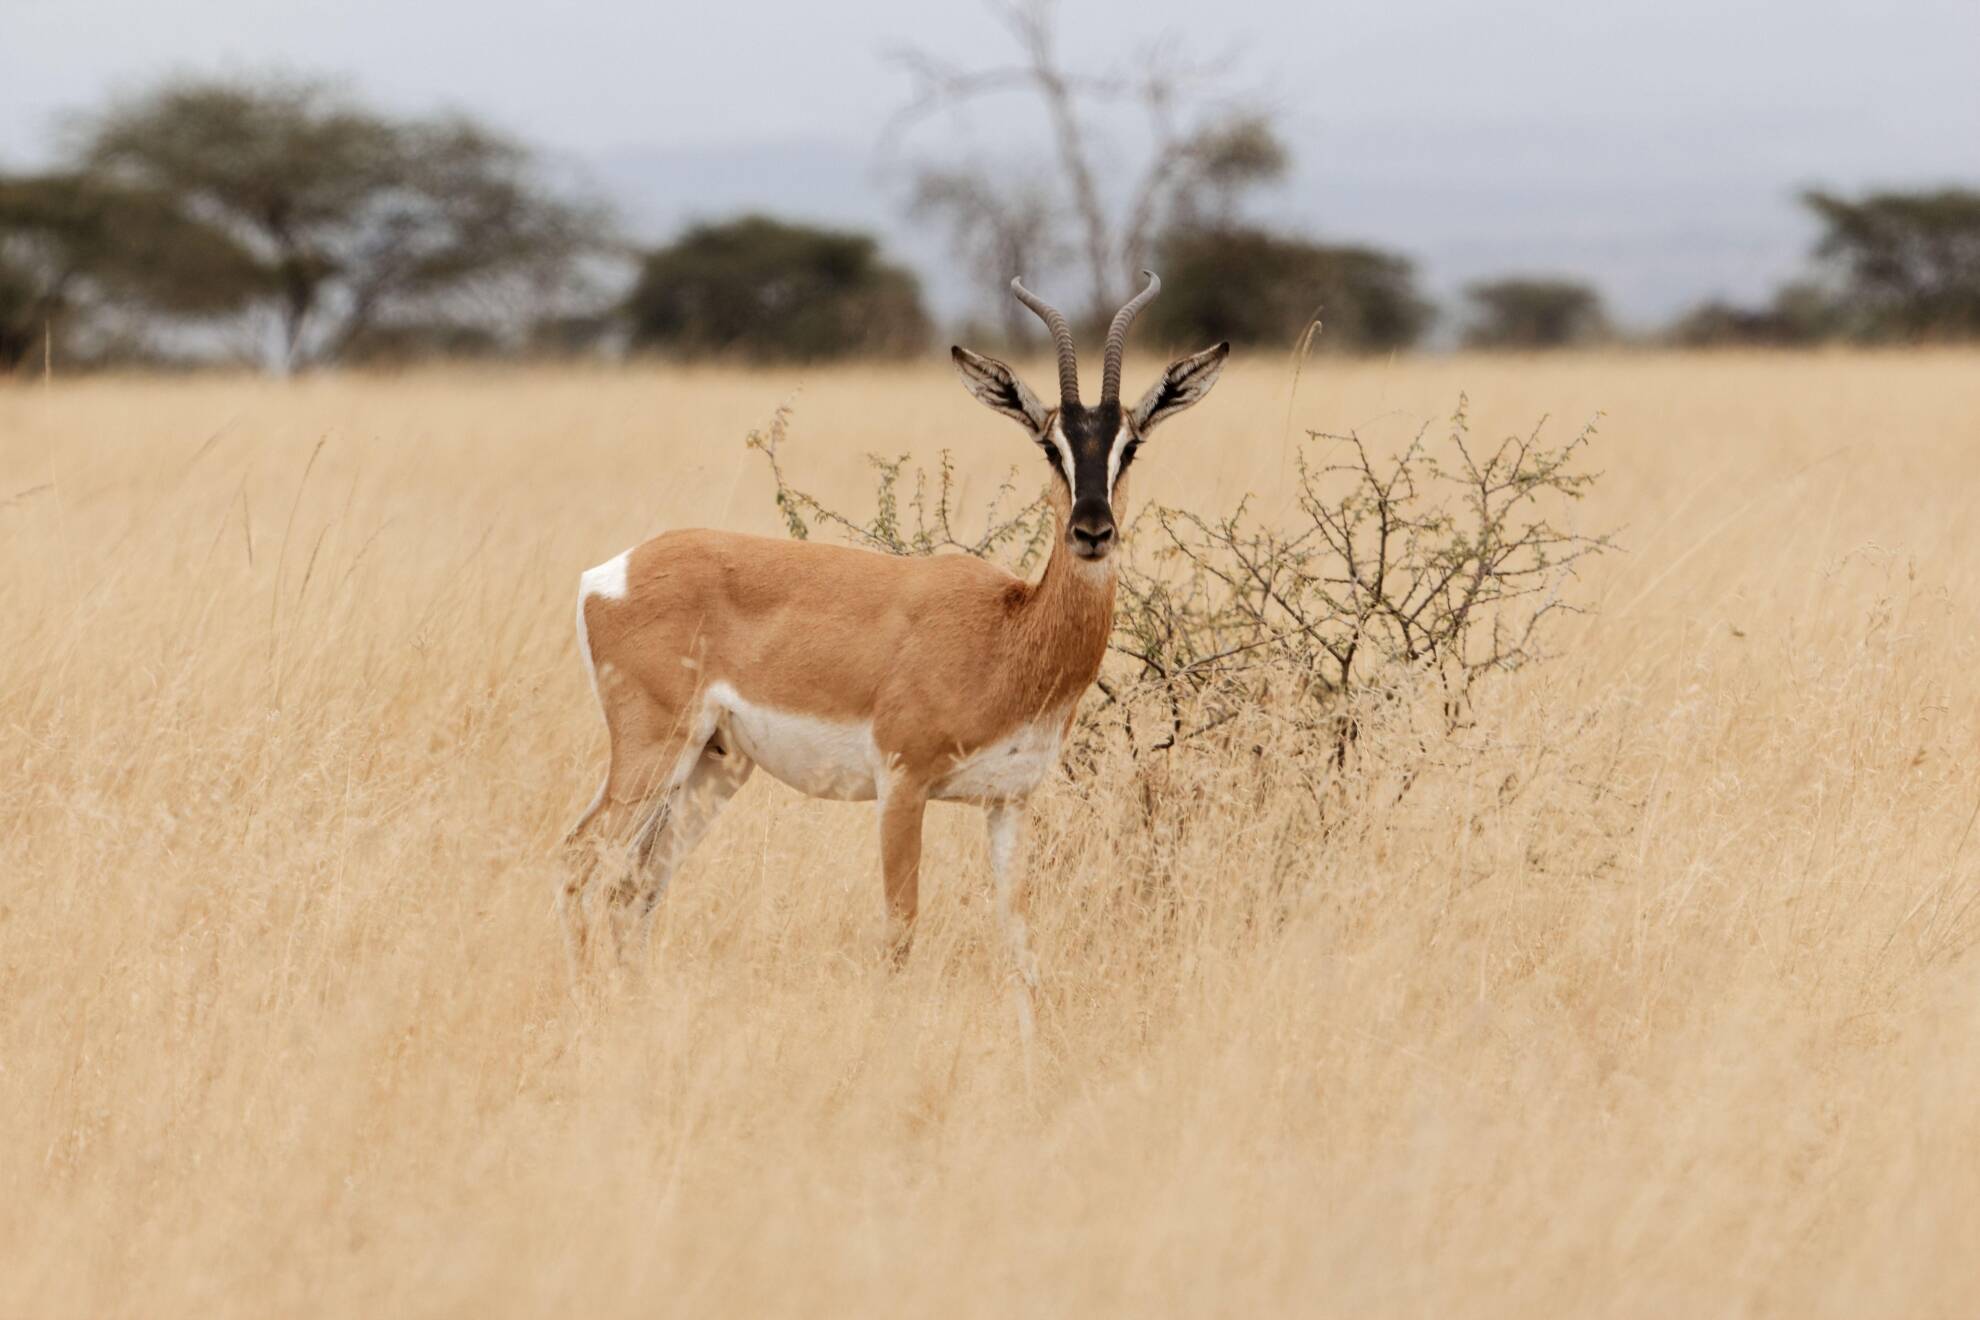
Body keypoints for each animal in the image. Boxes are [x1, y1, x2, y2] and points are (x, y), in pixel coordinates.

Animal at [561, 271, 1228, 982]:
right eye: (1051, 445)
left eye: (1131, 445)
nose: (1093, 531)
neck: (1008, 632)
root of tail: (609, 573)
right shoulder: (903, 786)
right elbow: (900, 932)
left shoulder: (1009, 804)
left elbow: (1019, 942)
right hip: (653, 755)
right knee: (577, 858)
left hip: (712, 769)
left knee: (635, 887)